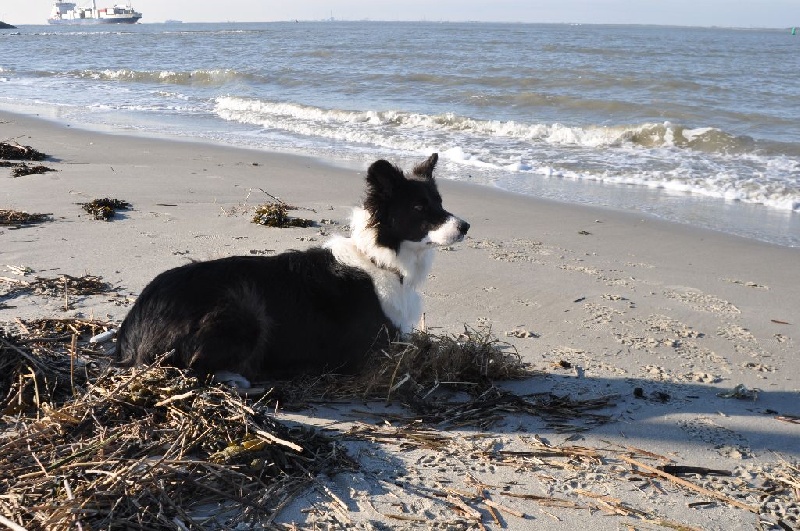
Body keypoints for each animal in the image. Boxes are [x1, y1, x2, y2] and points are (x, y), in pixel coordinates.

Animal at [118, 154, 468, 386]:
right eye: (419, 207)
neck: (379, 259)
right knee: (192, 366)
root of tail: (130, 332)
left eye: (440, 202)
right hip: (245, 310)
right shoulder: (379, 352)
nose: (465, 226)